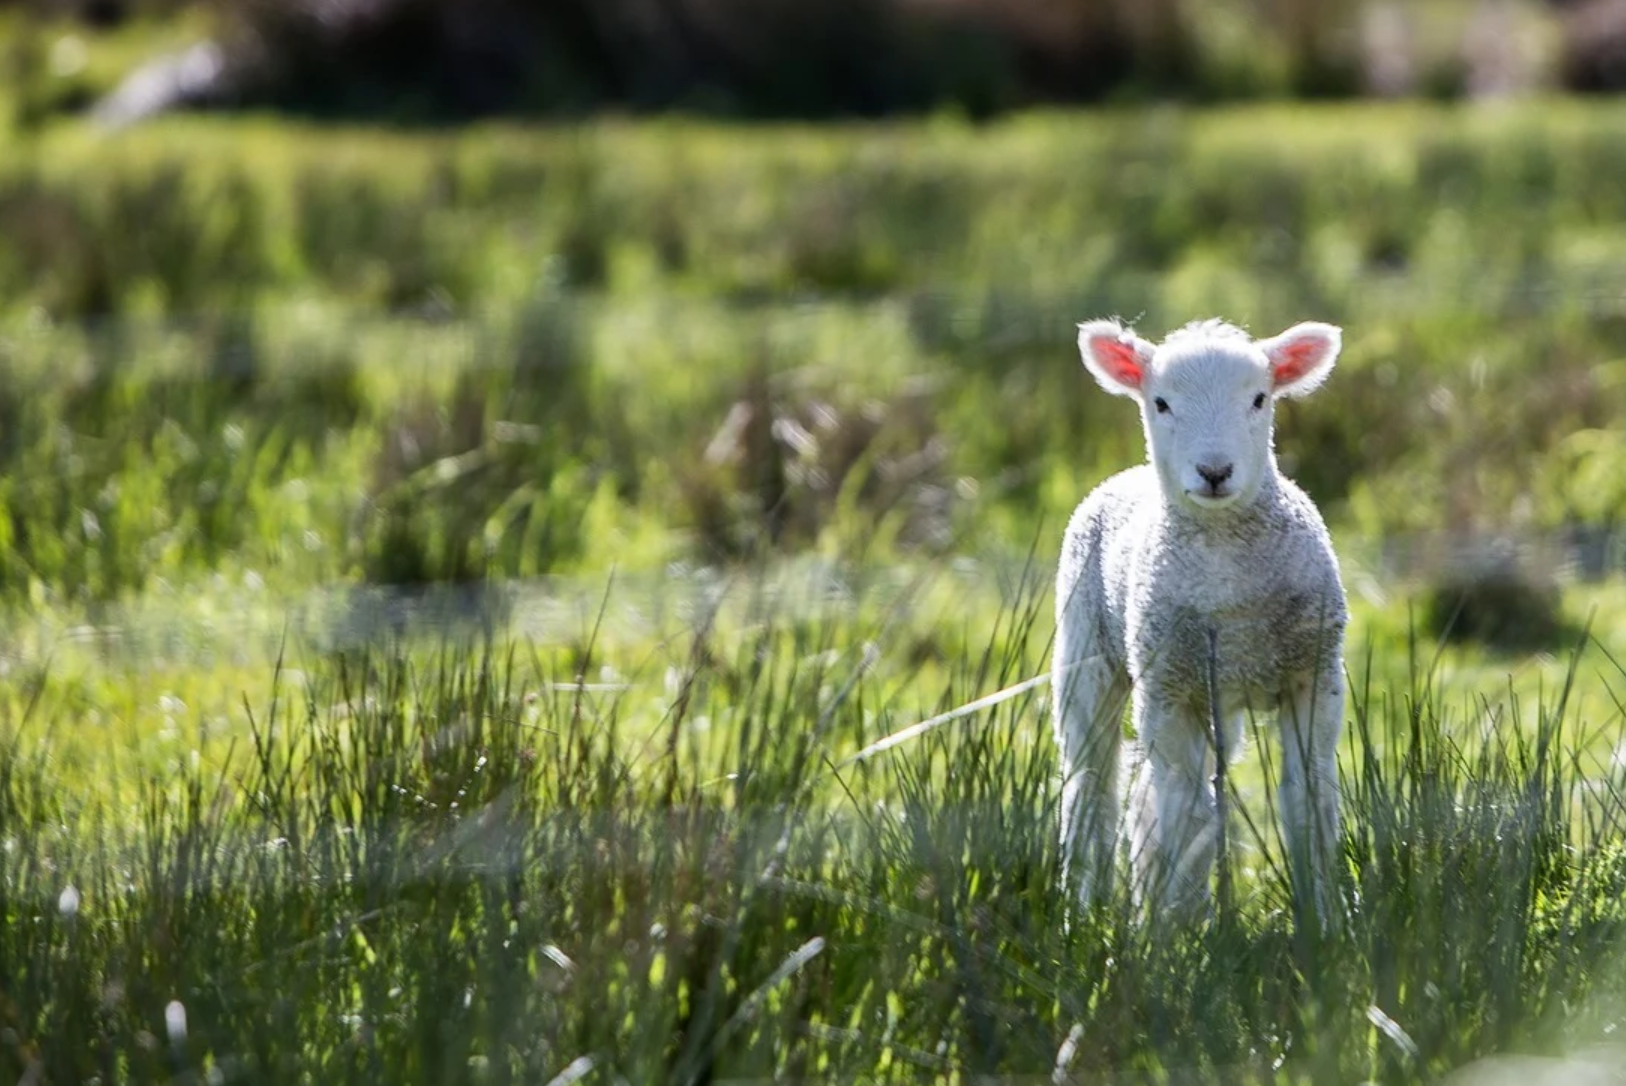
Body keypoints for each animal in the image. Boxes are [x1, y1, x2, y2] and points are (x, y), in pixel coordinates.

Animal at [1053, 316, 1347, 924]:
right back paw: (1086, 910)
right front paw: (1185, 928)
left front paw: (1323, 919)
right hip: (1086, 654)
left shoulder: (1314, 675)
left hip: (1218, 698)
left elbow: (1308, 799)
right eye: (1161, 402)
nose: (1215, 472)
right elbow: (1188, 813)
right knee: (1092, 785)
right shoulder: (1168, 691)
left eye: (1259, 399)